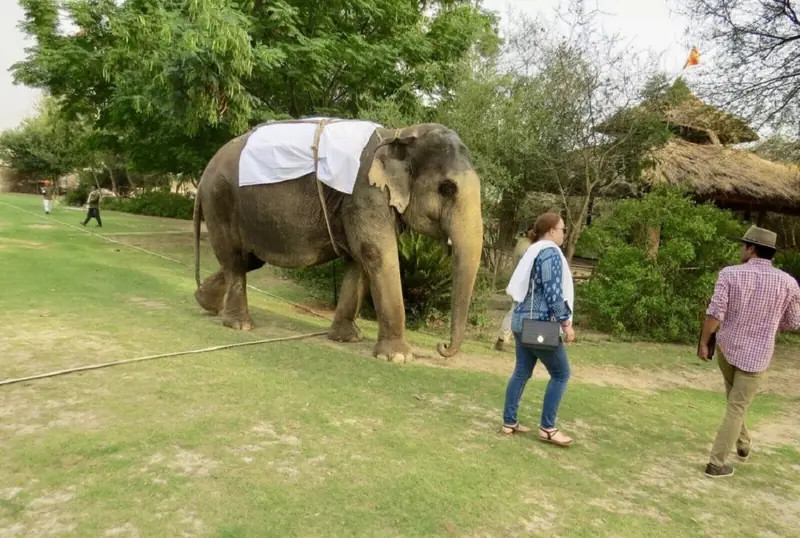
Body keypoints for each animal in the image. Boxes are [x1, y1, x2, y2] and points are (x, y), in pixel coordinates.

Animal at [192, 120, 483, 362]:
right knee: (235, 258)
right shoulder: (365, 194)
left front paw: (348, 338)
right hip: (220, 199)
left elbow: (358, 260)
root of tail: (204, 173)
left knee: (248, 260)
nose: (442, 347)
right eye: (447, 189)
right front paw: (398, 357)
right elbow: (377, 253)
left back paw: (205, 302)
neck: (399, 134)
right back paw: (239, 324)